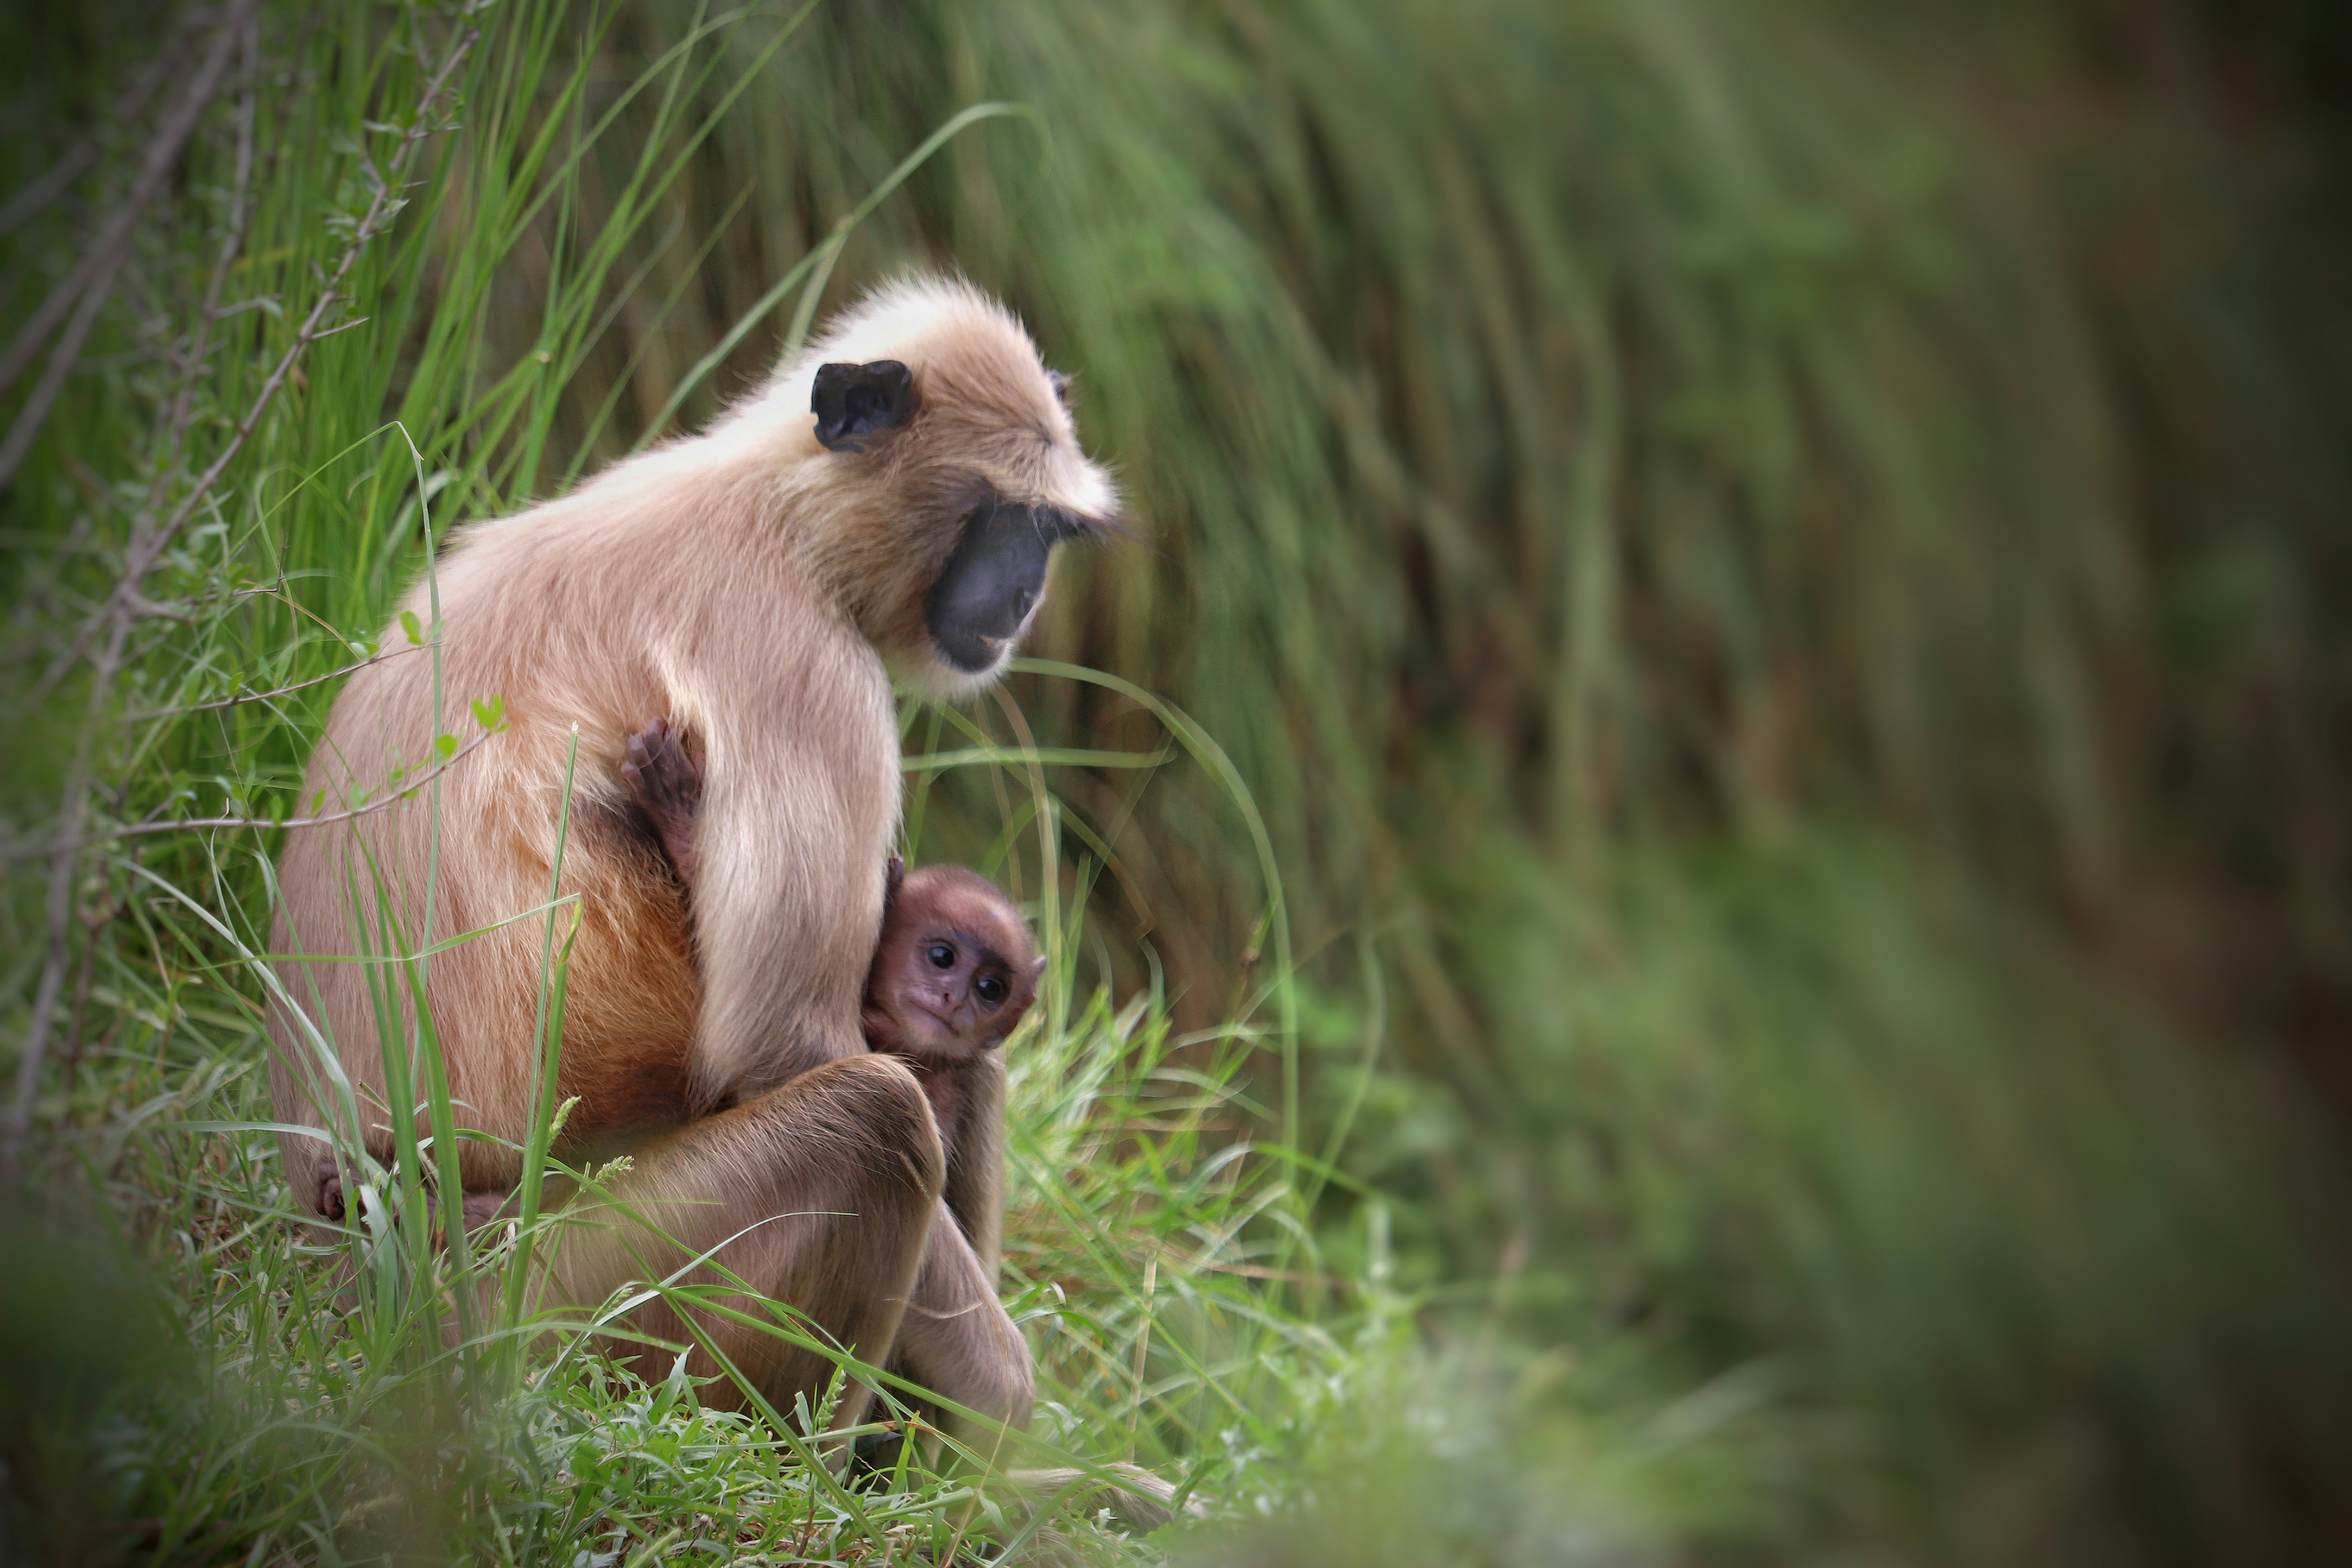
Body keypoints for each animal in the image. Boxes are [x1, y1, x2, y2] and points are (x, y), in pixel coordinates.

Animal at [266, 277, 1121, 1441]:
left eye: (1049, 532)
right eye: (1007, 520)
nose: (1025, 590)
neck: (778, 506)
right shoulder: (805, 665)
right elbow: (782, 1041)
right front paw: (1010, 1410)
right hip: (568, 1299)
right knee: (881, 1115)